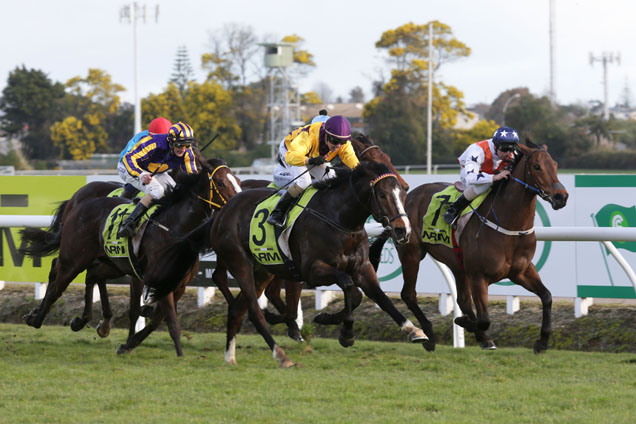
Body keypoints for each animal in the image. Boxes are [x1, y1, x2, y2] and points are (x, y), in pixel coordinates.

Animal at [19, 161, 241, 356]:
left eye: (238, 180)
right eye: (221, 182)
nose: (236, 204)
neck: (174, 230)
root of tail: (80, 203)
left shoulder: (178, 284)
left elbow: (158, 318)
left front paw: (129, 343)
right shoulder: (148, 277)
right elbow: (142, 312)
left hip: (109, 262)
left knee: (90, 275)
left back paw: (85, 320)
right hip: (74, 258)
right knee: (58, 281)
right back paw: (37, 318)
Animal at [145, 161, 428, 366]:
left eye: (403, 191)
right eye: (381, 193)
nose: (402, 230)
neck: (340, 219)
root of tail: (221, 213)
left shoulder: (363, 268)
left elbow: (380, 298)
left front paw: (415, 331)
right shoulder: (313, 270)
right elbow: (349, 287)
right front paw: (345, 332)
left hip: (262, 269)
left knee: (236, 309)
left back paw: (230, 357)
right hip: (241, 263)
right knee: (252, 310)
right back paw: (279, 353)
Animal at [366, 141, 568, 352]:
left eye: (554, 165)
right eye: (537, 166)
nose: (561, 196)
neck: (510, 226)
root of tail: (407, 198)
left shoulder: (521, 271)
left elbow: (547, 296)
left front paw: (542, 341)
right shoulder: (479, 276)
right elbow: (484, 319)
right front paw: (465, 323)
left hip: (457, 264)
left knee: (461, 299)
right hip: (411, 253)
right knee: (409, 294)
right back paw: (429, 335)